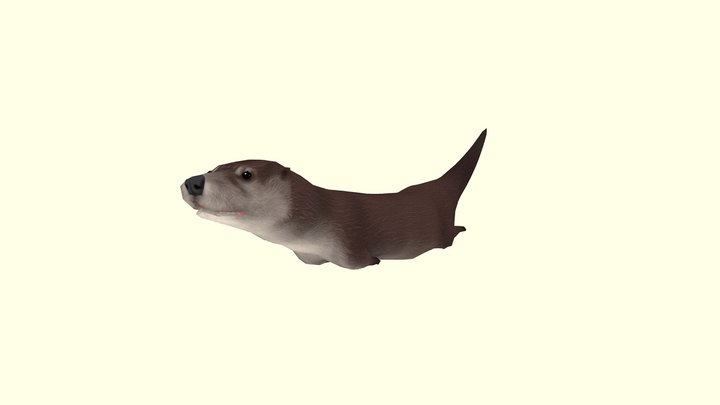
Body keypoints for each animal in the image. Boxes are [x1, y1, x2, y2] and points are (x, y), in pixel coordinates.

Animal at [181, 129, 487, 269]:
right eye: (212, 169)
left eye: (246, 174)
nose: (194, 181)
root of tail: (435, 189)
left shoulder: (349, 245)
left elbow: (365, 261)